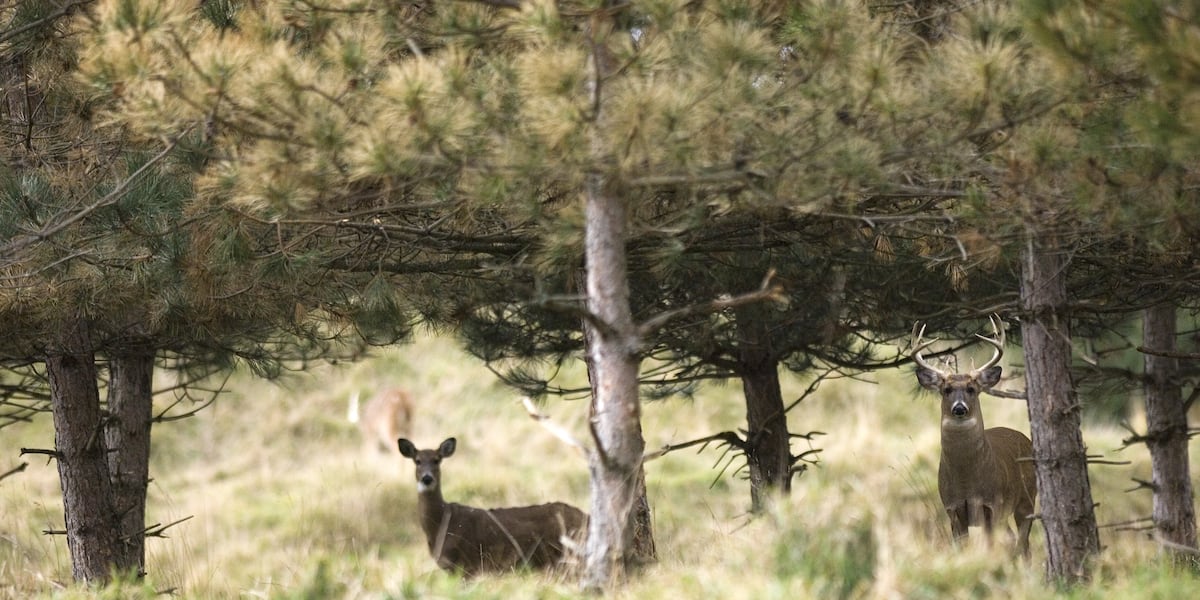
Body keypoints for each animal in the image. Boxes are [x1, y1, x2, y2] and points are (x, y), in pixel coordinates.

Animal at [396, 439, 588, 573]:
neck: (441, 524)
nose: (427, 478)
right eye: (417, 461)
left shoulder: (467, 565)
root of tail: (586, 516)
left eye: (437, 460)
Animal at [912, 316, 1036, 554]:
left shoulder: (993, 504)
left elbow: (991, 546)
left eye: (971, 388)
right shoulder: (953, 508)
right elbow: (961, 547)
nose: (959, 408)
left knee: (1023, 543)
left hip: (1027, 498)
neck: (967, 480)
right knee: (1013, 541)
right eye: (946, 390)